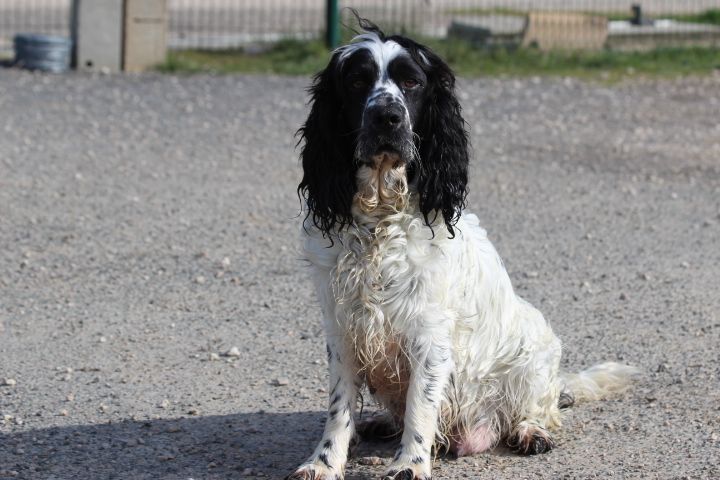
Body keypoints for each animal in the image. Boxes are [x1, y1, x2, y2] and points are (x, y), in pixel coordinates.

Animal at [286, 18, 636, 480]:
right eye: (358, 81)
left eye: (412, 82)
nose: (387, 116)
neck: (380, 220)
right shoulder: (342, 328)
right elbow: (339, 407)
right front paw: (324, 463)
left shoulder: (429, 333)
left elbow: (421, 406)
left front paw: (410, 465)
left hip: (536, 349)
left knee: (541, 405)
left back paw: (531, 431)